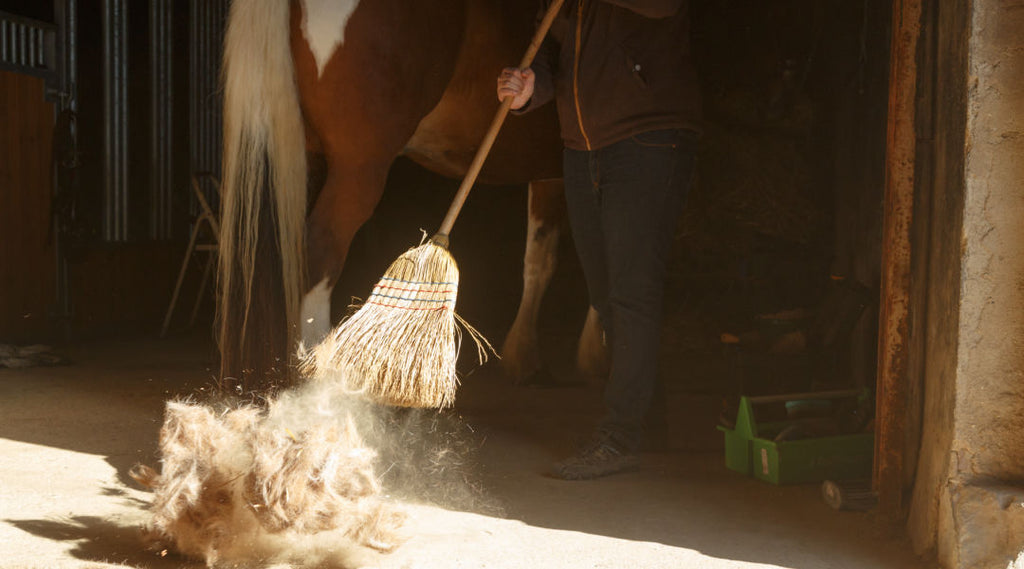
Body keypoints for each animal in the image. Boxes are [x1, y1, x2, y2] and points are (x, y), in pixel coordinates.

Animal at [219, 0, 602, 390]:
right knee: (320, 252)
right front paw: (595, 353)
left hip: (300, 156)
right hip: (358, 169)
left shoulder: (553, 173)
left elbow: (540, 258)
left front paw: (525, 355)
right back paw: (314, 368)